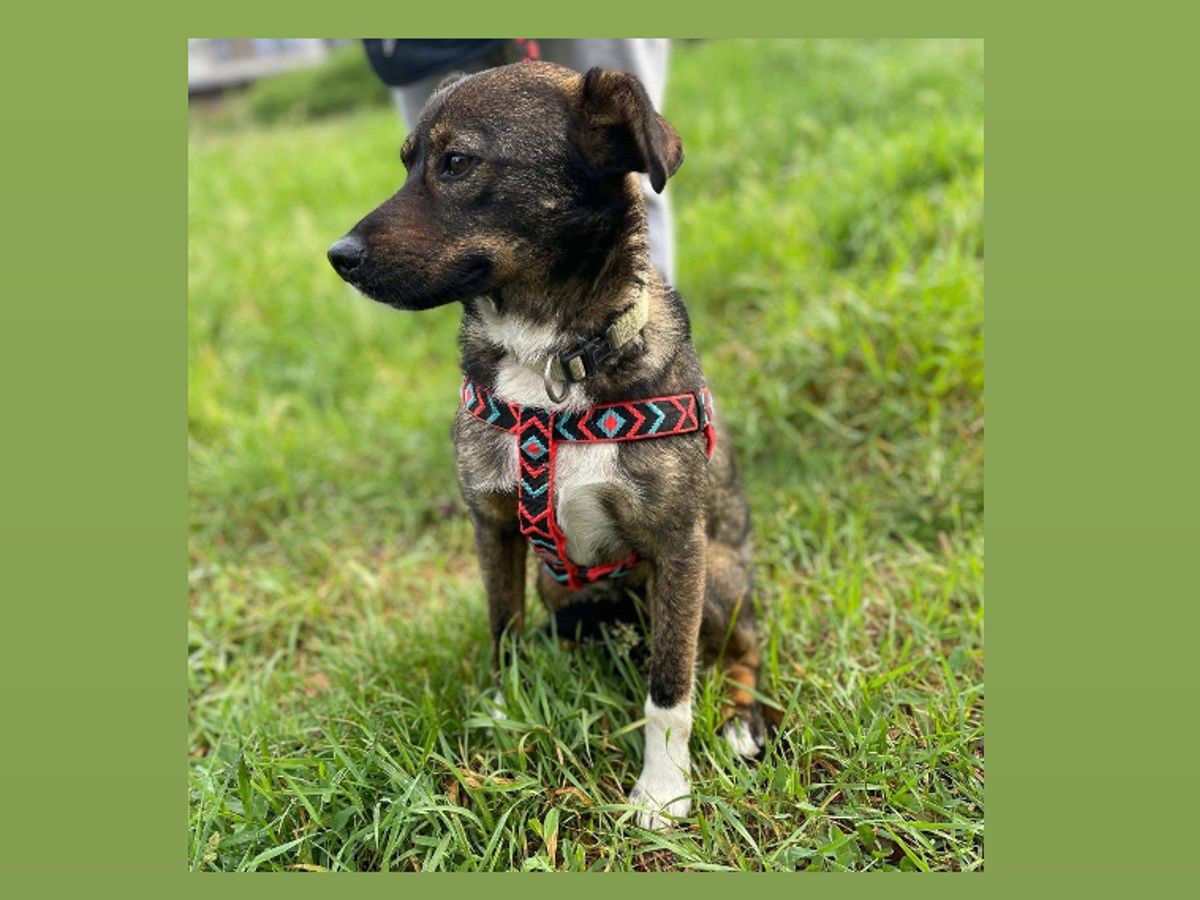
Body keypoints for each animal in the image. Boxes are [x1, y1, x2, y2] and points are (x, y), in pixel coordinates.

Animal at [328, 61, 763, 830]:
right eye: (406, 162)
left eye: (458, 162)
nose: (337, 257)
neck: (549, 362)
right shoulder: (494, 527)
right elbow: (503, 634)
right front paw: (504, 720)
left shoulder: (679, 546)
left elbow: (670, 688)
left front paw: (663, 792)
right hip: (556, 585)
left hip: (719, 580)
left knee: (743, 651)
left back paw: (742, 721)